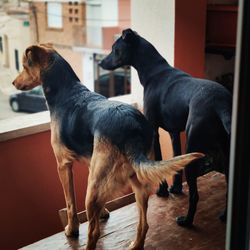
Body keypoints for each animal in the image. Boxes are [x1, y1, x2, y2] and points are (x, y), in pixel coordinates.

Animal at [12, 45, 203, 250]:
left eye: (25, 66)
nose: (14, 83)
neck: (66, 90)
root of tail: (132, 131)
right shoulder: (93, 166)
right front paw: (103, 212)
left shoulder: (63, 165)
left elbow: (70, 203)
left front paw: (72, 229)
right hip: (135, 184)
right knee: (143, 224)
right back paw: (136, 245)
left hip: (92, 190)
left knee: (94, 232)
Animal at [100, 28, 232, 227]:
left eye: (116, 49)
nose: (100, 62)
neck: (154, 71)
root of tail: (220, 103)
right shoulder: (174, 133)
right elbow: (175, 161)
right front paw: (175, 188)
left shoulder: (154, 130)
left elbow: (159, 159)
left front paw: (162, 190)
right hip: (225, 150)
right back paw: (224, 215)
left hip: (194, 148)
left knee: (195, 195)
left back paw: (187, 220)